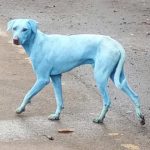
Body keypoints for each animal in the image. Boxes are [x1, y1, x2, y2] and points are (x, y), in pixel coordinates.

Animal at [7, 18, 145, 125]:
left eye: (25, 29)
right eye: (14, 28)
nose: (15, 40)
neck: (37, 42)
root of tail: (116, 43)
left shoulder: (42, 79)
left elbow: (28, 94)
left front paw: (20, 109)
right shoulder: (56, 77)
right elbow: (59, 100)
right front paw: (56, 116)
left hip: (100, 77)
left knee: (107, 101)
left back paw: (100, 119)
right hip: (116, 76)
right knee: (134, 95)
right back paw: (141, 117)